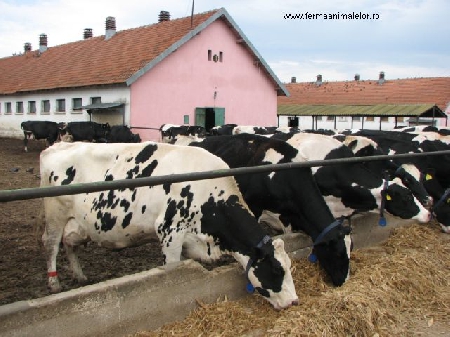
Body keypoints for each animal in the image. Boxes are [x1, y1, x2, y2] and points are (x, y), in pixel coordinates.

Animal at [39, 140, 298, 308]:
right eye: (277, 270)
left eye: (289, 266)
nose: (294, 301)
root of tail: (56, 146)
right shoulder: (169, 231)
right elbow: (173, 266)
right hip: (54, 214)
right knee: (51, 245)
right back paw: (54, 283)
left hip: (76, 222)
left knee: (69, 244)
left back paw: (80, 277)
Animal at [187, 134, 356, 286]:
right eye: (339, 253)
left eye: (351, 248)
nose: (343, 280)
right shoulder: (253, 204)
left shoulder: (287, 213)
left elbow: (288, 234)